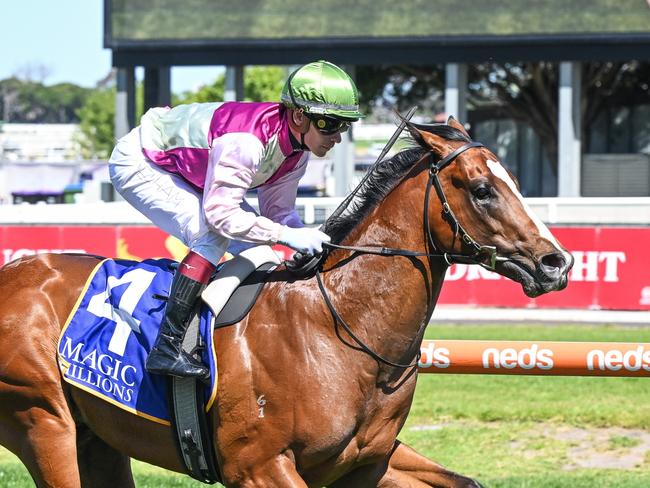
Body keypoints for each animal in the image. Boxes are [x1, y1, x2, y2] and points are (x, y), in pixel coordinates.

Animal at [0, 116, 568, 486]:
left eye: (515, 181)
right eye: (482, 189)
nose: (556, 263)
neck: (337, 331)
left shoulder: (366, 461)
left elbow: (464, 481)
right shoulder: (259, 467)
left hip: (98, 440)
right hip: (43, 420)